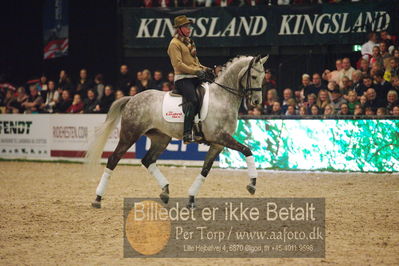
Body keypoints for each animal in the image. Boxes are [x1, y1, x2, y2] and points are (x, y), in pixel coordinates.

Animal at [86, 55, 270, 209]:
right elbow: (247, 150)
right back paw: (98, 198)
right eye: (254, 77)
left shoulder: (217, 144)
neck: (222, 98)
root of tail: (132, 98)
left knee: (147, 160)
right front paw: (252, 184)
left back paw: (165, 191)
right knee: (113, 159)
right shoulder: (220, 137)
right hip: (129, 135)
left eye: (263, 78)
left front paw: (191, 198)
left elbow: (205, 170)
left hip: (161, 138)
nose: (256, 102)